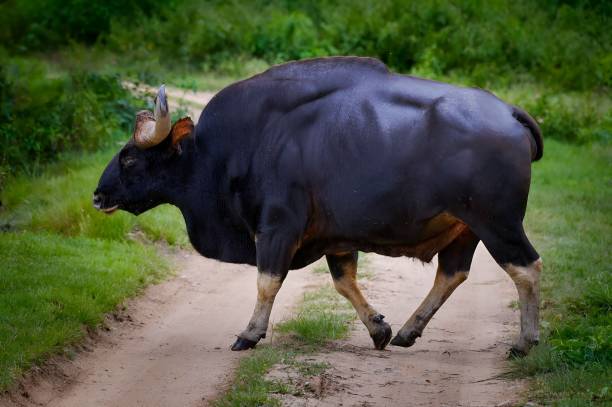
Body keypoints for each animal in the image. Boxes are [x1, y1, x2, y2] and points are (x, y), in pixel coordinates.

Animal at [93, 55, 544, 356]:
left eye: (129, 158)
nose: (98, 195)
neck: (232, 150)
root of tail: (509, 112)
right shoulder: (336, 237)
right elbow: (344, 282)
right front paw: (378, 329)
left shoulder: (277, 228)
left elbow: (267, 281)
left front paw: (250, 333)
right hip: (465, 230)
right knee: (452, 274)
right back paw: (408, 331)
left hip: (497, 222)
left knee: (526, 267)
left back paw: (525, 342)